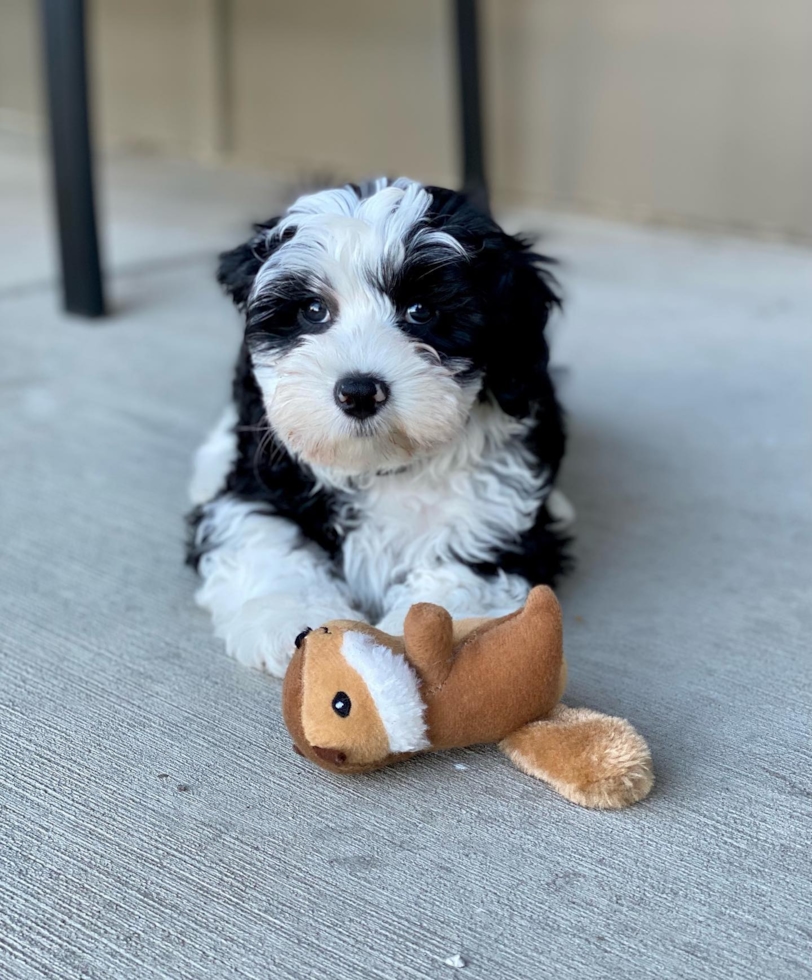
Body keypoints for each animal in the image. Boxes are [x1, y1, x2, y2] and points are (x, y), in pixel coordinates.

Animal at [188, 178, 576, 672]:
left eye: (420, 311)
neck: (380, 464)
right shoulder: (260, 482)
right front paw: (288, 617)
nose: (358, 391)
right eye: (313, 310)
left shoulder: (495, 523)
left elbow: (457, 581)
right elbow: (262, 535)